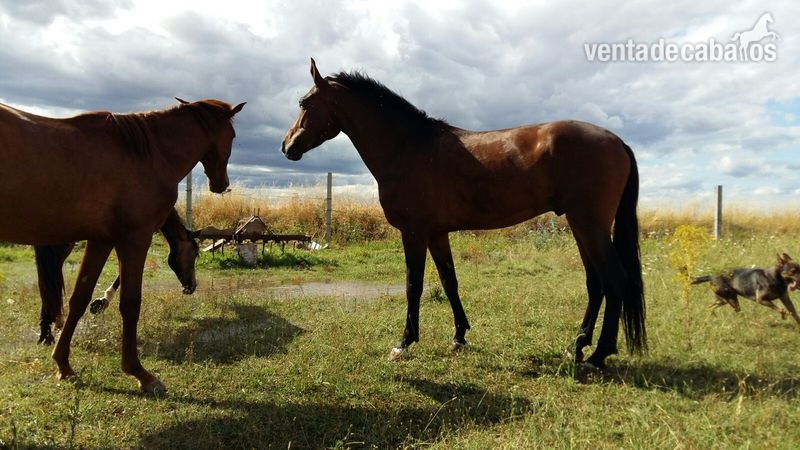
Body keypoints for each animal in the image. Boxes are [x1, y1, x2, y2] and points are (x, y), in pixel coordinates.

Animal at [281, 59, 645, 370]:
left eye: (303, 103)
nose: (287, 147)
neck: (409, 147)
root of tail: (618, 142)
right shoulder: (437, 233)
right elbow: (449, 281)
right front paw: (459, 337)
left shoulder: (414, 232)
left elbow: (413, 285)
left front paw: (403, 343)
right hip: (581, 226)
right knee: (595, 283)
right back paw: (576, 345)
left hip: (589, 224)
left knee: (614, 278)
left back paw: (598, 355)